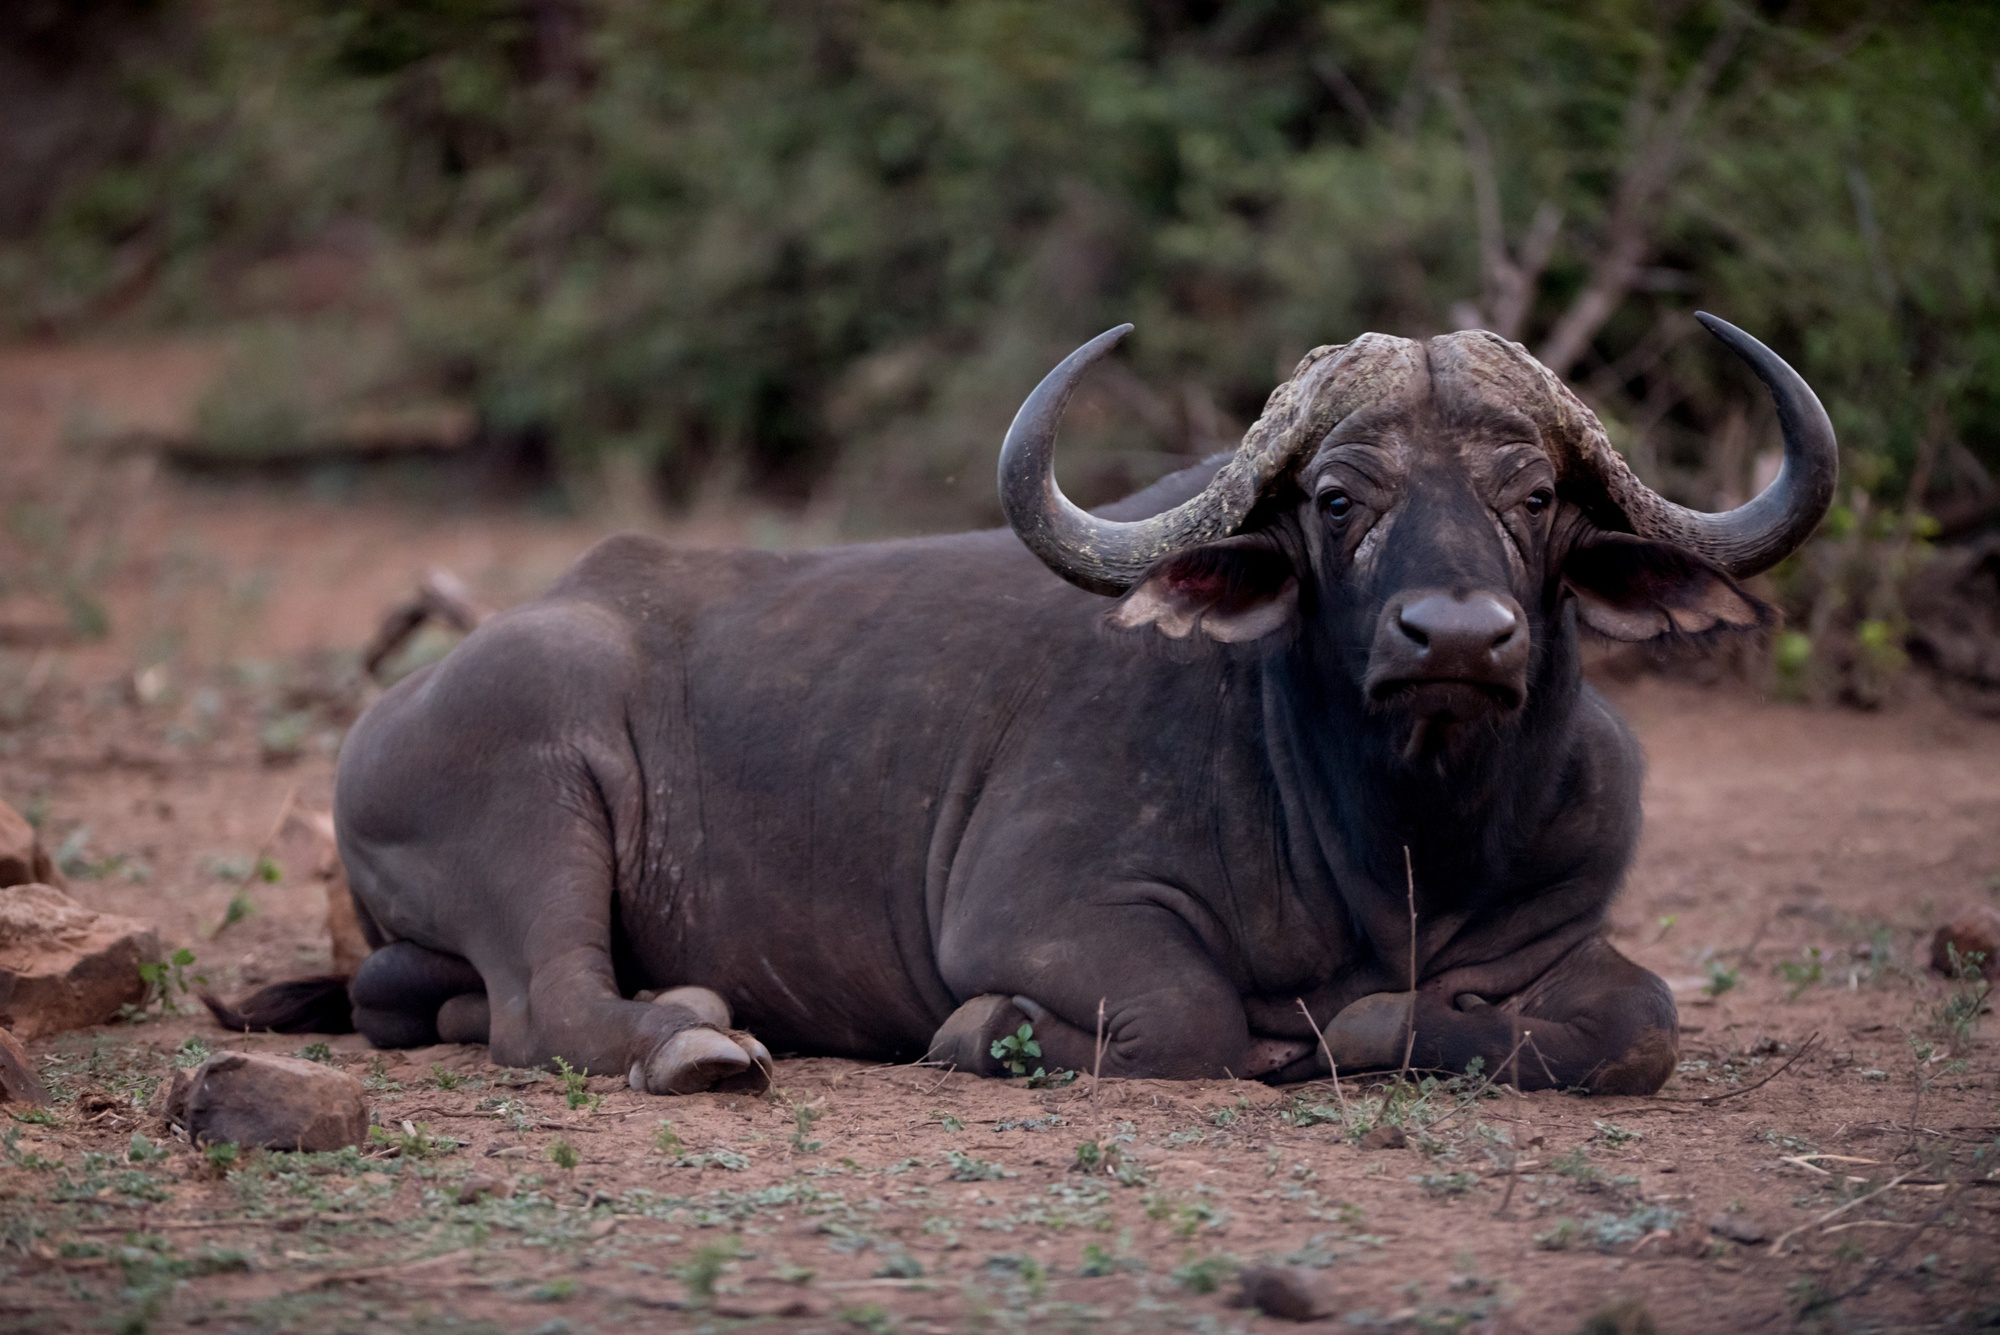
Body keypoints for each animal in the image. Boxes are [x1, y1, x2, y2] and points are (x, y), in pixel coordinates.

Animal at [212, 315, 1835, 1097]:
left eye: (1534, 495)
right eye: (1337, 498)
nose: (1455, 634)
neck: (1402, 847)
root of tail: (395, 708)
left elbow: (1638, 1020)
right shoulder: (1043, 915)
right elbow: (1190, 1012)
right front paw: (996, 1032)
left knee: (424, 996)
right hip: (539, 788)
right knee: (548, 1002)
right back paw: (695, 1041)